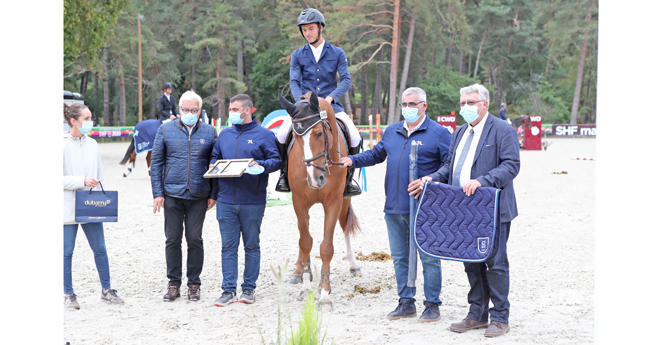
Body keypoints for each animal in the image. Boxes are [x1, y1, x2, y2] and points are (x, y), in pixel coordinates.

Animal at [278, 90, 360, 310]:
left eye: (319, 134)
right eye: (295, 138)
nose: (315, 179)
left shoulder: (334, 201)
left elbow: (326, 247)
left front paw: (324, 294)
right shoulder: (298, 201)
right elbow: (305, 241)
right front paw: (306, 287)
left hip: (345, 202)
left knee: (345, 227)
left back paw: (353, 265)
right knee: (302, 231)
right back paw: (298, 271)